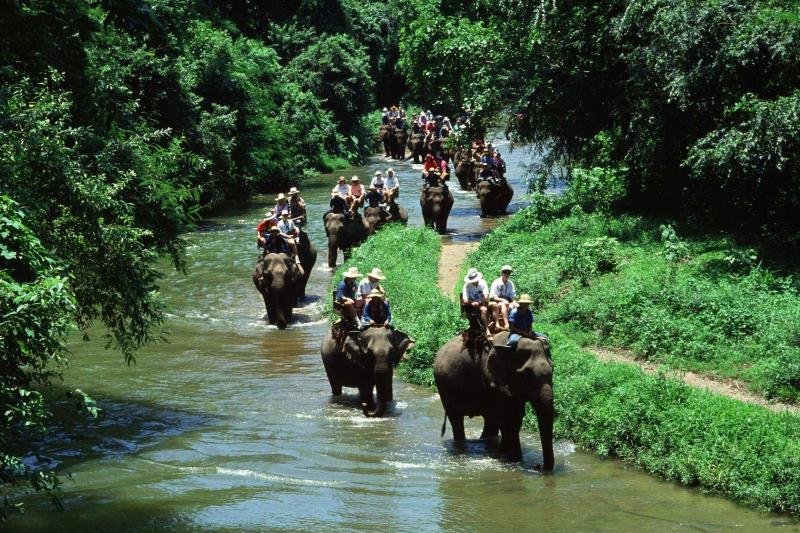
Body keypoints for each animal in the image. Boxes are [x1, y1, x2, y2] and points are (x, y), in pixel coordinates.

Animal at [434, 328, 552, 470]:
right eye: (526, 375)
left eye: (552, 372)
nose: (538, 466)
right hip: (444, 388)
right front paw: (515, 461)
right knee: (456, 419)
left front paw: (507, 456)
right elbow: (509, 419)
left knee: (490, 419)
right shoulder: (492, 378)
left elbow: (515, 417)